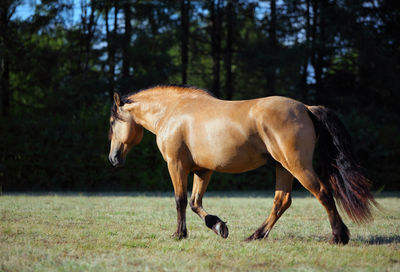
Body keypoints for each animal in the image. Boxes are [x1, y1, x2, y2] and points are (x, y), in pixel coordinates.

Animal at [108, 85, 376, 244]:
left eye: (112, 122)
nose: (113, 158)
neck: (172, 112)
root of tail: (306, 108)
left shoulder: (176, 165)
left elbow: (180, 201)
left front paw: (179, 234)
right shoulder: (203, 170)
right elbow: (195, 203)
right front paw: (218, 226)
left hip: (297, 166)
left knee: (323, 193)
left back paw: (339, 237)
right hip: (283, 167)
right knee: (282, 201)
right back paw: (256, 235)